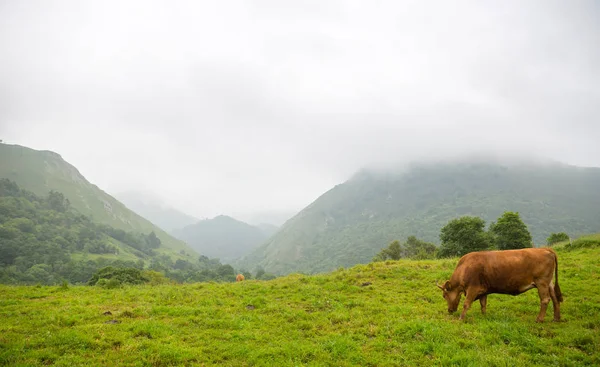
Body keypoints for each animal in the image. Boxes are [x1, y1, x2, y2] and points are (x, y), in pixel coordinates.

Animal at [436, 249, 564, 324]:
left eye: (444, 295)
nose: (450, 310)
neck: (465, 268)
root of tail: (545, 249)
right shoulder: (483, 290)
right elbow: (483, 304)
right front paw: (484, 316)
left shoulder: (473, 288)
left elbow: (466, 304)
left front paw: (461, 318)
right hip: (549, 283)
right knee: (555, 298)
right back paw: (556, 318)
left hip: (541, 282)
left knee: (545, 300)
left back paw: (539, 319)